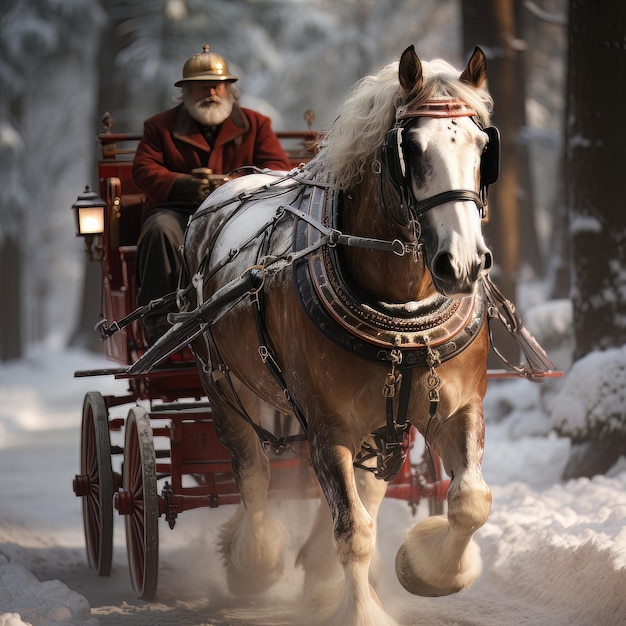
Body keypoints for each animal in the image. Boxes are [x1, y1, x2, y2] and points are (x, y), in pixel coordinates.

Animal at [182, 45, 498, 624]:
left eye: (484, 146)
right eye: (410, 149)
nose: (463, 263)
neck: (401, 306)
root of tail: (225, 187)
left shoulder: (459, 408)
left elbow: (469, 501)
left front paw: (427, 571)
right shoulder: (328, 426)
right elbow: (352, 531)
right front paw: (361, 611)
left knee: (363, 487)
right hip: (221, 384)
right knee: (252, 472)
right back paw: (255, 562)